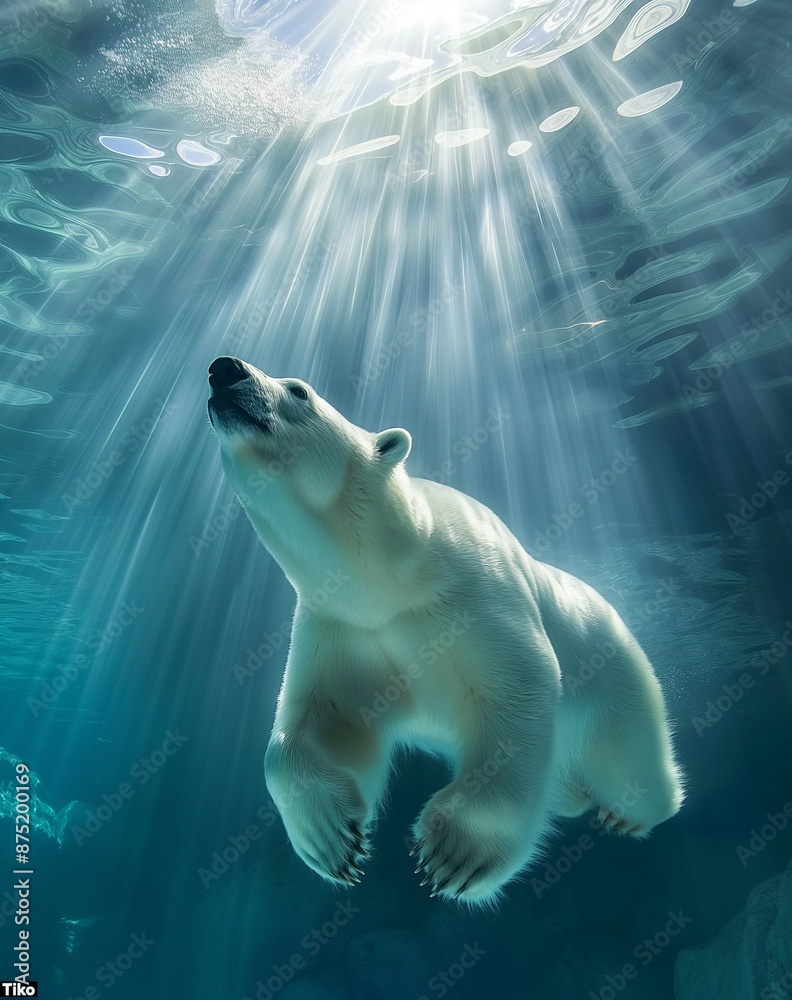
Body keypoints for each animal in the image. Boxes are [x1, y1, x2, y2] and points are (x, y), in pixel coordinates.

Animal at [206, 355, 684, 906]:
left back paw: (627, 813)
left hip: (615, 677)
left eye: (299, 390)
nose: (223, 369)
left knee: (629, 761)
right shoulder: (345, 627)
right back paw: (572, 797)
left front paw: (456, 854)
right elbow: (318, 721)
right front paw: (330, 839)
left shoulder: (474, 595)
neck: (391, 574)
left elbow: (521, 689)